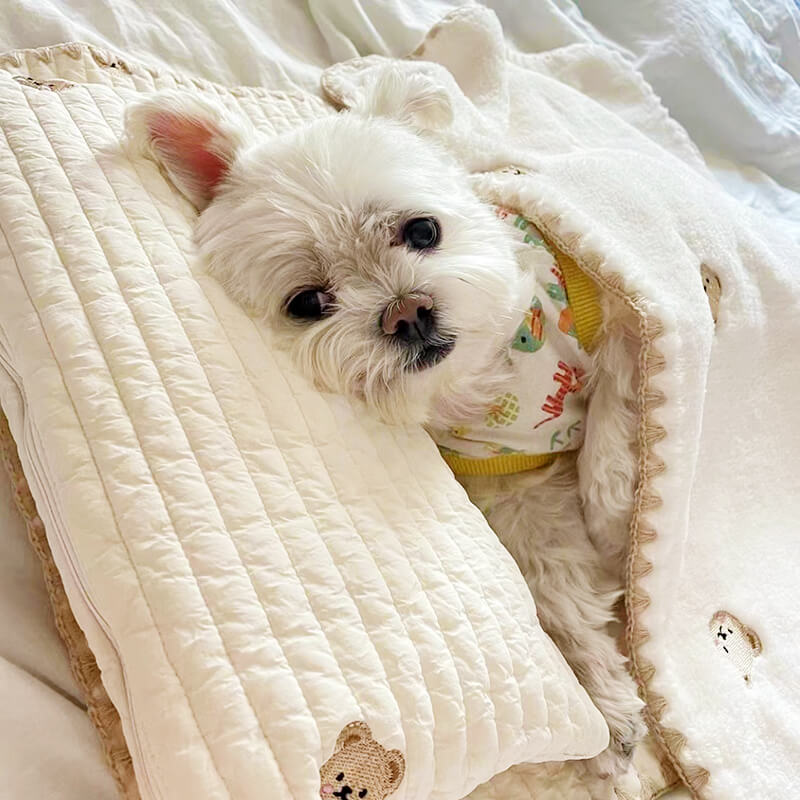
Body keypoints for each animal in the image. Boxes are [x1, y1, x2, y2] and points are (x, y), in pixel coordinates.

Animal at [126, 73, 648, 788]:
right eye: (308, 303)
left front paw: (613, 498)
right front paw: (605, 710)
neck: (490, 380)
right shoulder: (518, 488)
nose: (406, 312)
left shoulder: (613, 300)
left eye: (422, 229)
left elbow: (620, 387)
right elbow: (559, 592)